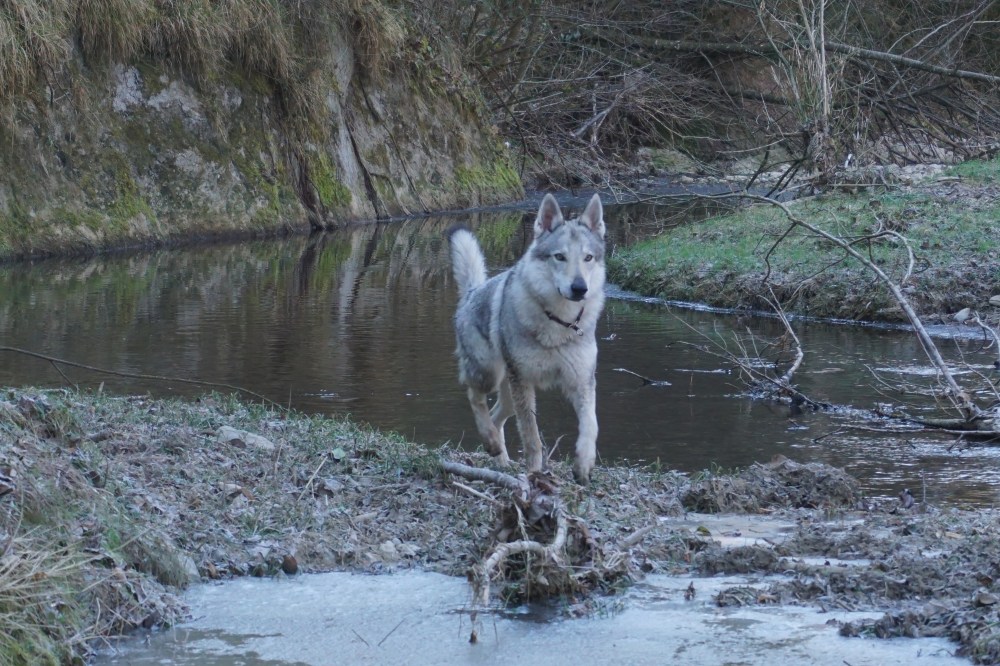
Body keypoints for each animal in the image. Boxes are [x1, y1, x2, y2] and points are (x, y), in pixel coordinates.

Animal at [448, 193, 606, 484]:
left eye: (588, 257)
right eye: (560, 257)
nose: (580, 288)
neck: (559, 322)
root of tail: (472, 292)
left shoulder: (582, 381)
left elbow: (591, 425)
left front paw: (583, 465)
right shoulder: (523, 382)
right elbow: (532, 437)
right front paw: (534, 473)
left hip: (509, 393)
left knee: (497, 416)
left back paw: (500, 457)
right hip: (491, 376)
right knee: (474, 396)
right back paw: (490, 442)